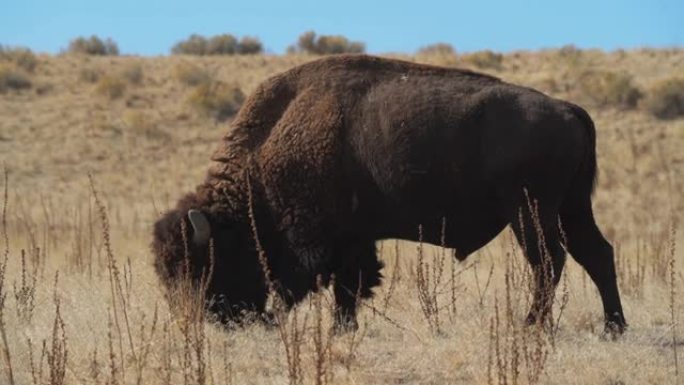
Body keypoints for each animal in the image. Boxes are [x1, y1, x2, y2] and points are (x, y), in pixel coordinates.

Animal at [152, 53, 628, 332]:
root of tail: (568, 109)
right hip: (571, 207)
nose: (198, 322)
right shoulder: (355, 240)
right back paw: (613, 326)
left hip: (529, 211)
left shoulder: (326, 241)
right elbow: (352, 286)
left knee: (549, 261)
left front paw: (330, 328)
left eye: (202, 265)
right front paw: (342, 330)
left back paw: (531, 326)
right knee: (596, 254)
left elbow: (336, 285)